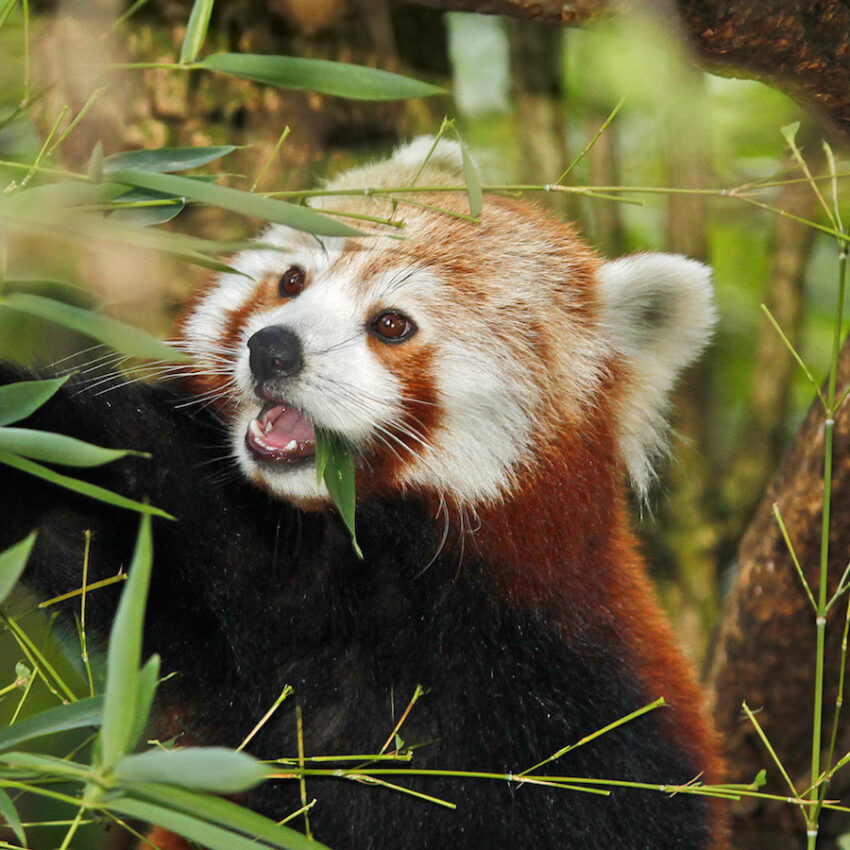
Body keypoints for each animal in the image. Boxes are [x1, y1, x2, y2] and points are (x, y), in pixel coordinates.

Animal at [3, 139, 724, 848]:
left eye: (392, 324)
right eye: (292, 281)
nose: (271, 348)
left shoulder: (594, 732)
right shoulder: (226, 599)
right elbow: (95, 512)